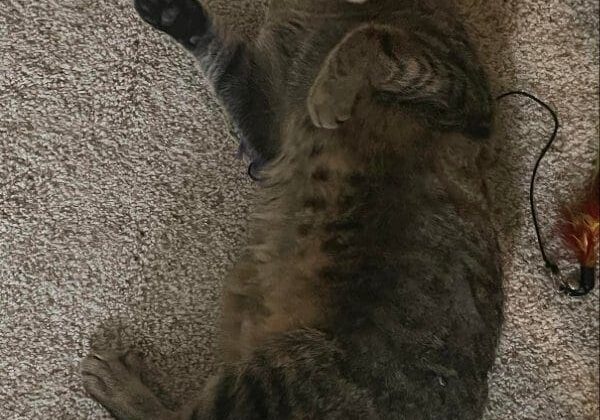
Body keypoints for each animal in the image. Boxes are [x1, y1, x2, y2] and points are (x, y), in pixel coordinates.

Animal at [81, 0, 502, 416]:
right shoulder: (268, 121)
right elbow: (223, 57)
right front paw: (175, 14)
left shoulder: (466, 97)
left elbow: (367, 40)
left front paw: (328, 93)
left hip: (289, 372)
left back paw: (114, 382)